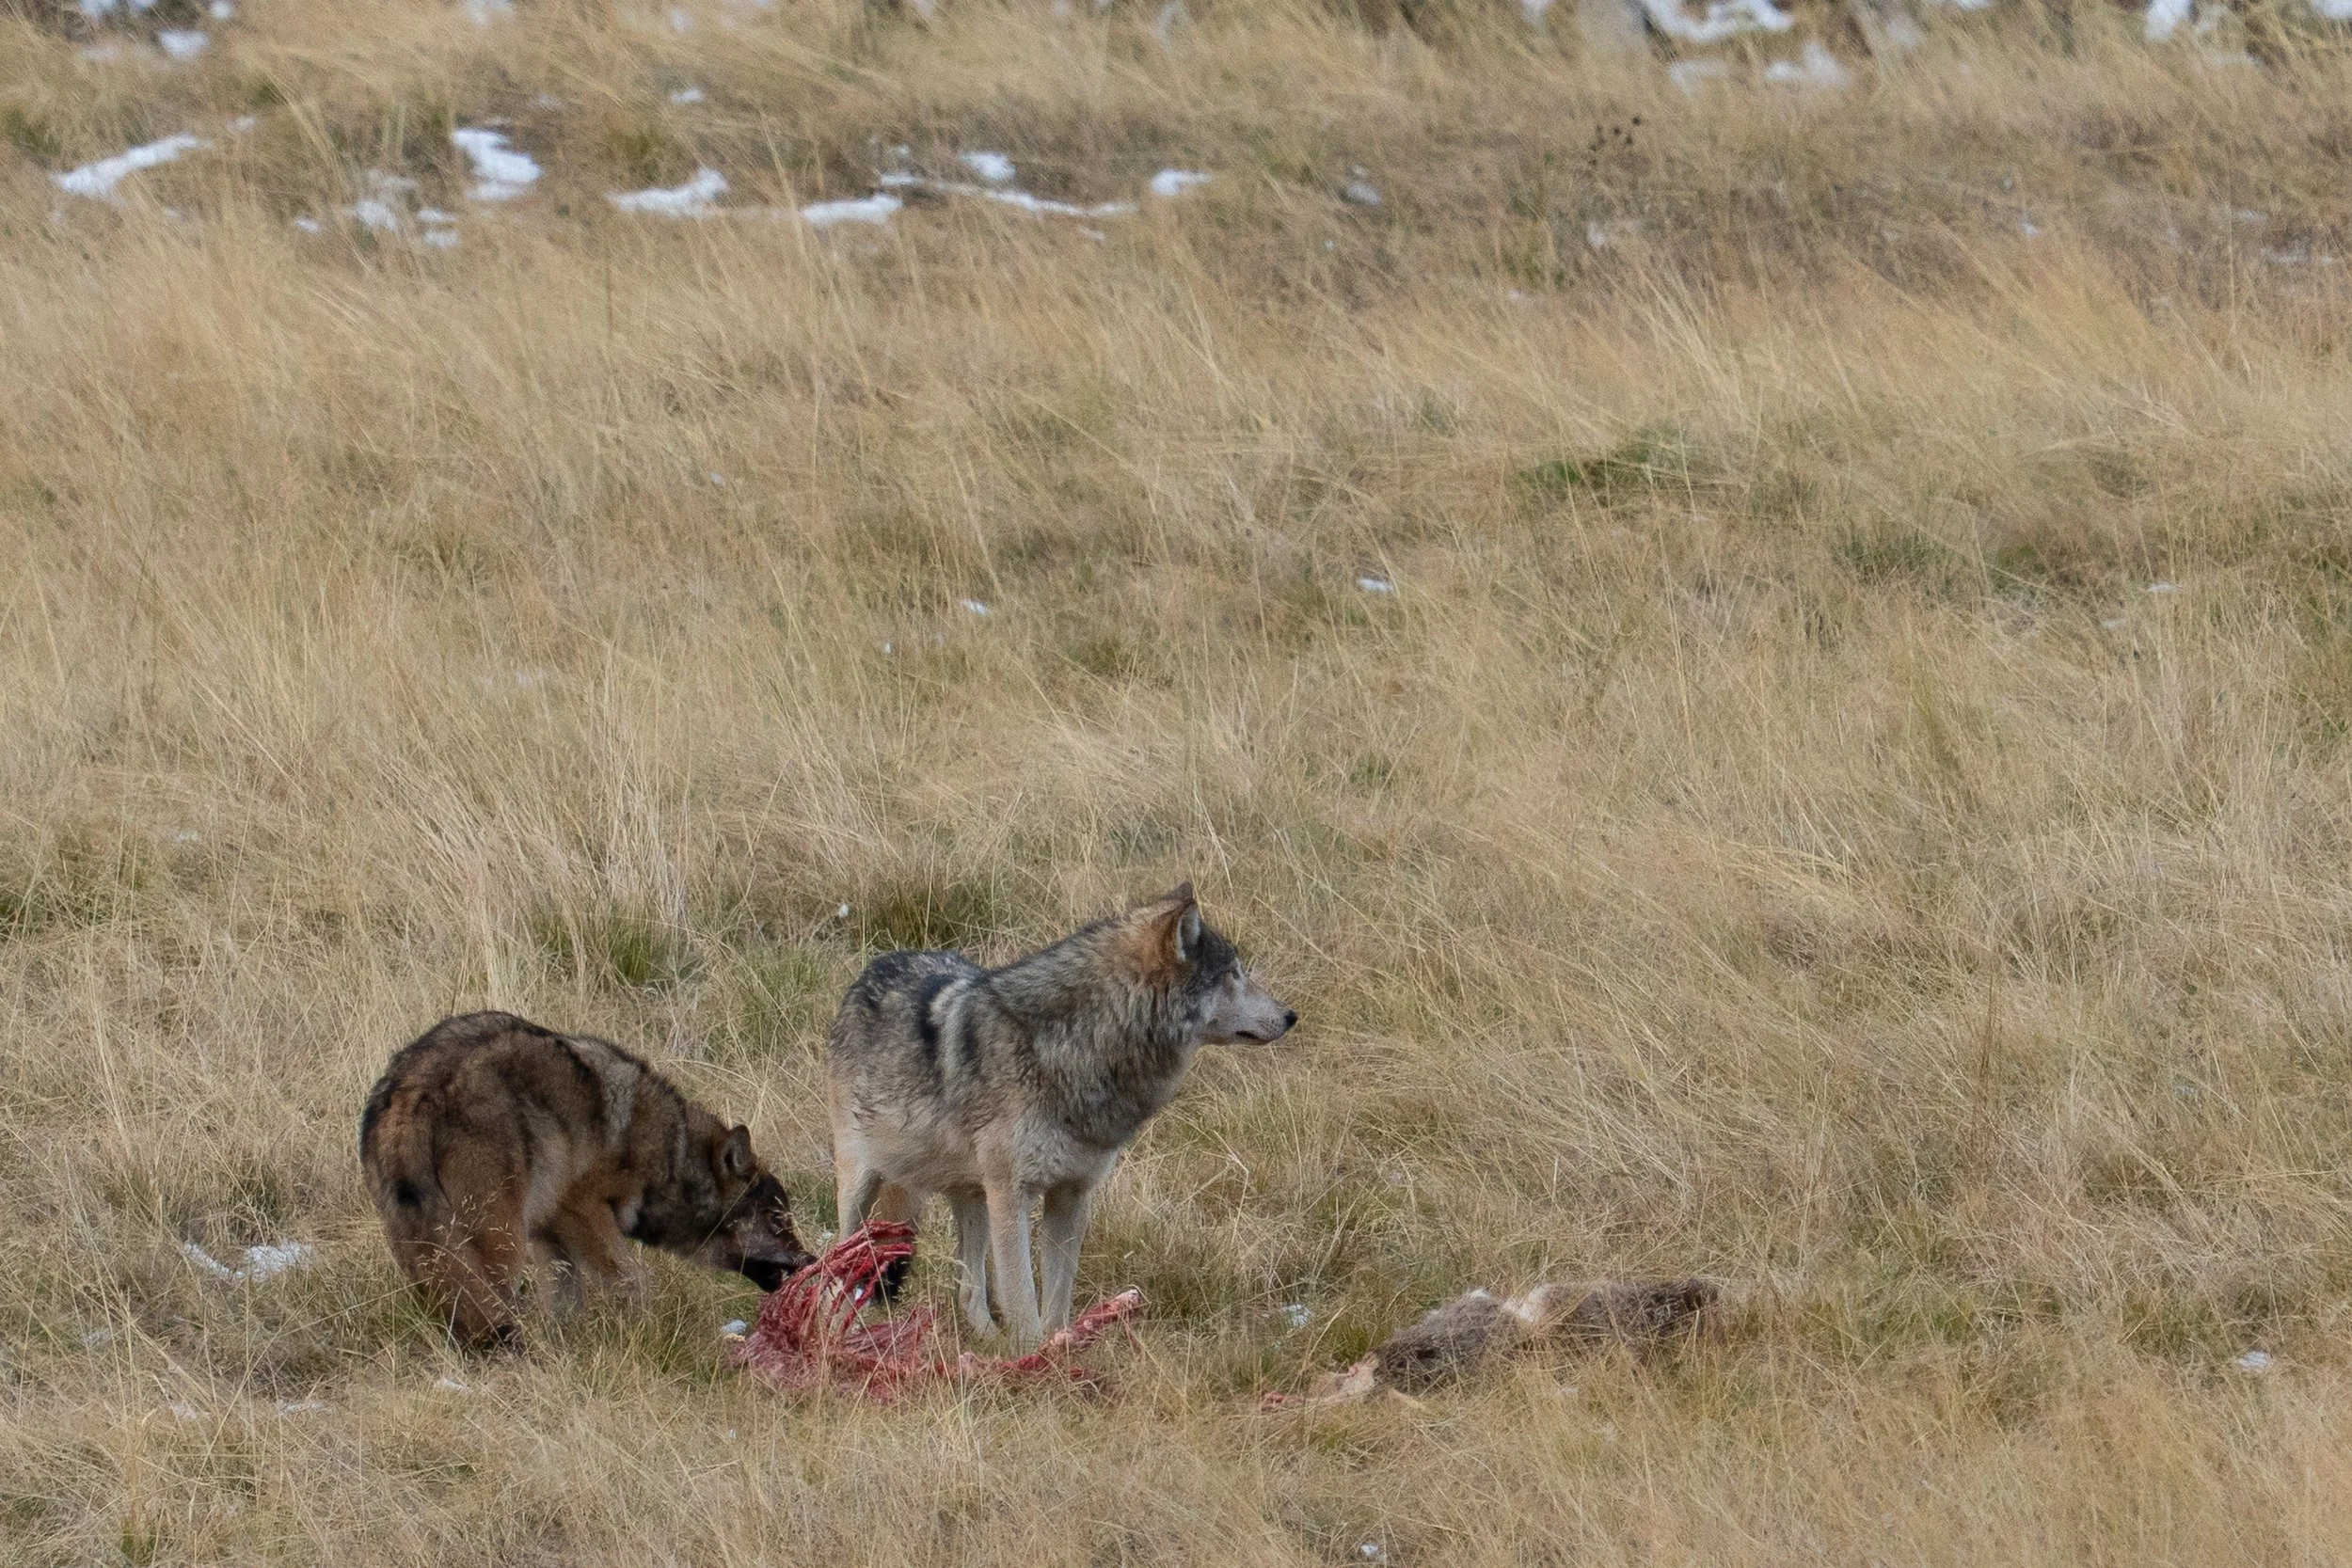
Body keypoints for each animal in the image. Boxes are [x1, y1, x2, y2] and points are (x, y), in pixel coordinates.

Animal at [360, 1011, 814, 1347]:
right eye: (778, 1221)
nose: (811, 1261)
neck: (670, 1153)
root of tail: (409, 1095)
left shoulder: (549, 1233)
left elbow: (566, 1301)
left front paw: (568, 1346)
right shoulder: (581, 1210)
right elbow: (634, 1281)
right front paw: (649, 1336)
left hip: (437, 1244)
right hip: (500, 1242)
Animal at [827, 882, 1295, 1347]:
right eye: (1234, 973)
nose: (1291, 1015)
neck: (1074, 1050)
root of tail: (875, 966)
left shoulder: (1071, 1195)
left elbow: (1056, 1300)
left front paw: (1058, 1350)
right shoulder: (1012, 1197)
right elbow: (1023, 1301)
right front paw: (1032, 1357)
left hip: (973, 1199)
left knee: (969, 1291)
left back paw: (988, 1341)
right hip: (862, 1189)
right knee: (836, 1272)